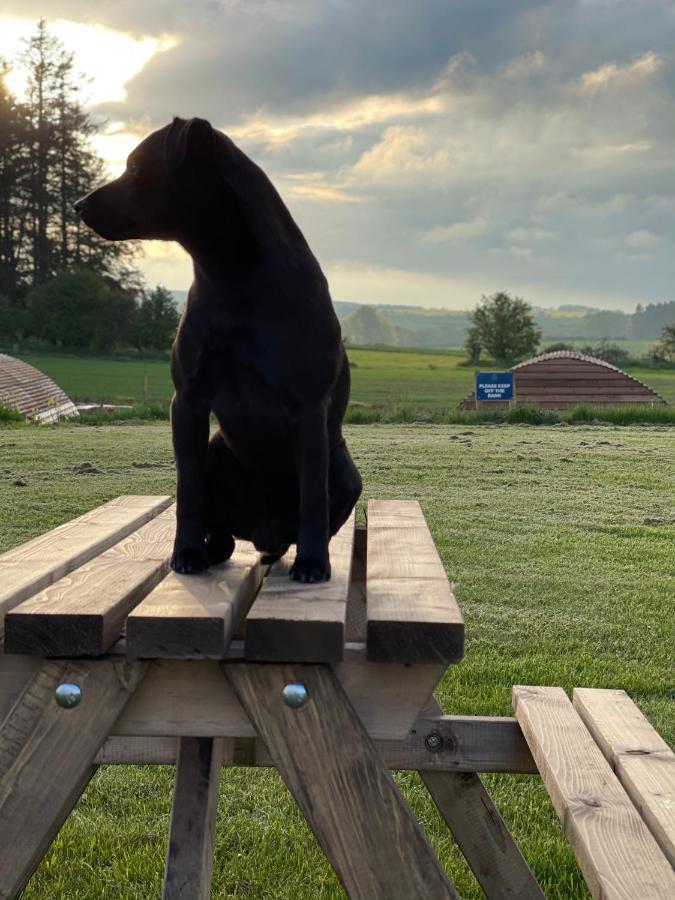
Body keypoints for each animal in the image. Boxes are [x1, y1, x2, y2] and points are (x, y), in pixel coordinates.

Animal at [76, 118, 362, 584]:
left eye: (135, 167)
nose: (79, 205)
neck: (231, 271)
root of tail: (266, 534)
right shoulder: (189, 399)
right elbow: (187, 488)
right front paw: (187, 551)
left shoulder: (308, 408)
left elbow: (312, 497)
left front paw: (313, 562)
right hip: (217, 452)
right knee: (224, 534)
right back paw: (210, 549)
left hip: (345, 470)